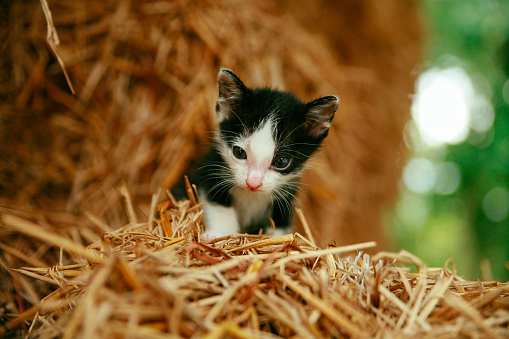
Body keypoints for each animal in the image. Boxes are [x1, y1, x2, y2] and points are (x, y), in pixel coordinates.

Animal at [196, 68, 340, 239]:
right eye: (239, 153)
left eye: (281, 162)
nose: (253, 183)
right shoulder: (211, 167)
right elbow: (217, 203)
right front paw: (220, 233)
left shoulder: (285, 196)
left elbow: (280, 221)